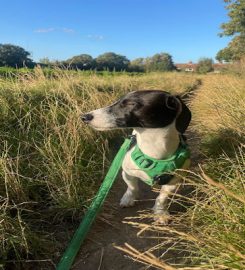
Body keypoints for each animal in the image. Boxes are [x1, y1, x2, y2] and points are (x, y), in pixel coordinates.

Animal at [82, 90, 191, 224]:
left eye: (131, 104)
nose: (85, 117)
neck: (154, 152)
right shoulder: (127, 173)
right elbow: (132, 187)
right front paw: (128, 198)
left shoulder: (173, 182)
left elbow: (162, 197)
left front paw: (160, 212)